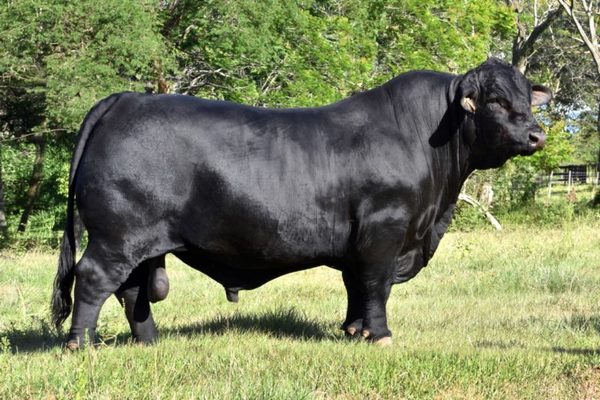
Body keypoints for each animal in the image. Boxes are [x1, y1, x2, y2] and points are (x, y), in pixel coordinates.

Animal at [52, 57, 552, 348]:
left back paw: (150, 342)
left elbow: (356, 287)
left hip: (139, 241)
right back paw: (81, 344)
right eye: (495, 99)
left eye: (528, 97)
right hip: (118, 234)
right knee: (94, 279)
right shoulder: (385, 229)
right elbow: (376, 285)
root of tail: (124, 100)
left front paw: (354, 330)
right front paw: (380, 336)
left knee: (133, 289)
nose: (536, 134)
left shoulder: (362, 241)